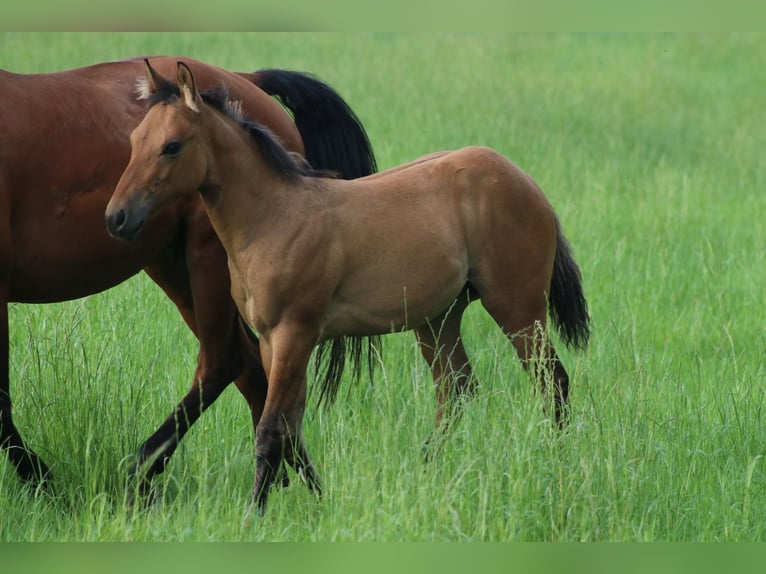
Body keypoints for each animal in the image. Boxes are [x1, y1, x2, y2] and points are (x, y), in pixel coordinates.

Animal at [0, 55, 378, 500]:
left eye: (171, 146)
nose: (116, 217)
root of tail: (247, 80)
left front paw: (42, 481)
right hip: (174, 268)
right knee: (257, 375)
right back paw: (292, 483)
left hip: (206, 265)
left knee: (224, 363)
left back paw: (142, 471)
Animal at [105, 60, 592, 516]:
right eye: (134, 141)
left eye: (172, 146)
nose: (117, 218)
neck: (274, 219)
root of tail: (525, 181)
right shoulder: (271, 341)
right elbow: (290, 427)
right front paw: (317, 499)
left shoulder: (294, 334)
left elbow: (270, 430)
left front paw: (254, 515)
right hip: (439, 319)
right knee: (457, 391)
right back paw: (429, 474)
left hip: (517, 307)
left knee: (552, 382)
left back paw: (558, 464)